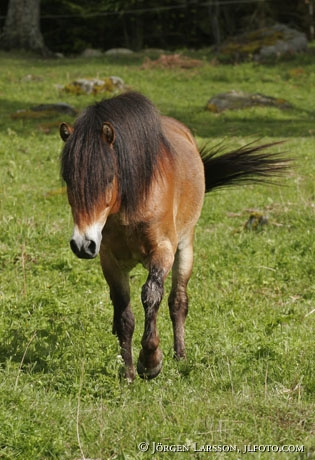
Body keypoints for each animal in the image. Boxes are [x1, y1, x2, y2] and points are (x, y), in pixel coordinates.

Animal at [59, 90, 288, 380]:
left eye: (108, 178)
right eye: (68, 180)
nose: (82, 244)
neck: (132, 202)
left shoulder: (163, 250)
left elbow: (151, 294)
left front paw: (151, 361)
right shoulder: (109, 260)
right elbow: (124, 313)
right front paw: (129, 373)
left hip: (185, 247)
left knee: (178, 301)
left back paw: (180, 355)